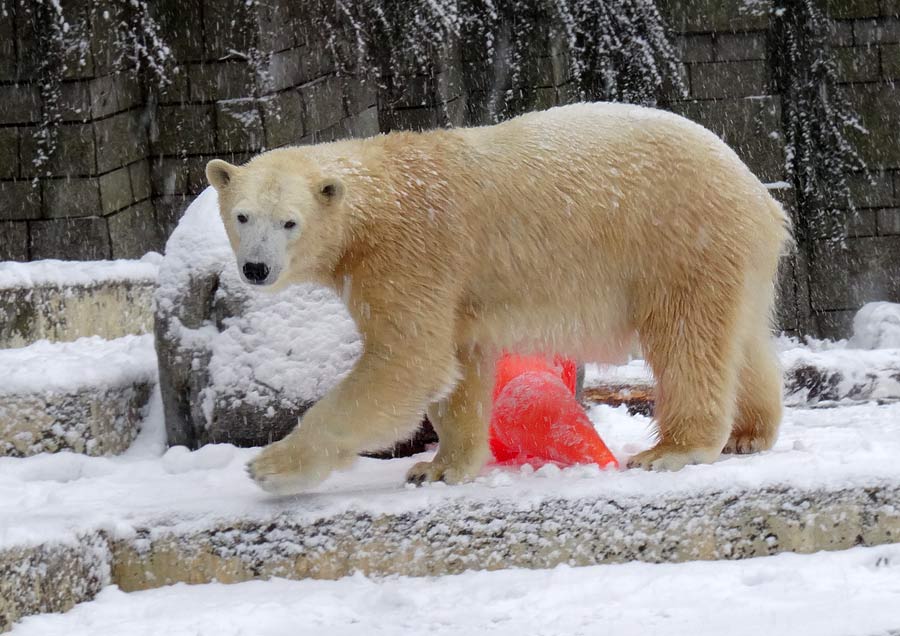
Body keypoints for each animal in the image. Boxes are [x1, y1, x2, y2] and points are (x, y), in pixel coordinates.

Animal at [207, 102, 792, 494]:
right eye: (242, 216)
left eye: (289, 222)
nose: (256, 268)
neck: (378, 202)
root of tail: (757, 191)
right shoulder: (454, 287)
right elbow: (458, 368)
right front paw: (439, 467)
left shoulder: (410, 254)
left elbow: (406, 362)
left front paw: (270, 467)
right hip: (731, 255)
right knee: (742, 339)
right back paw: (749, 433)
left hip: (680, 240)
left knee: (687, 339)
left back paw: (672, 449)